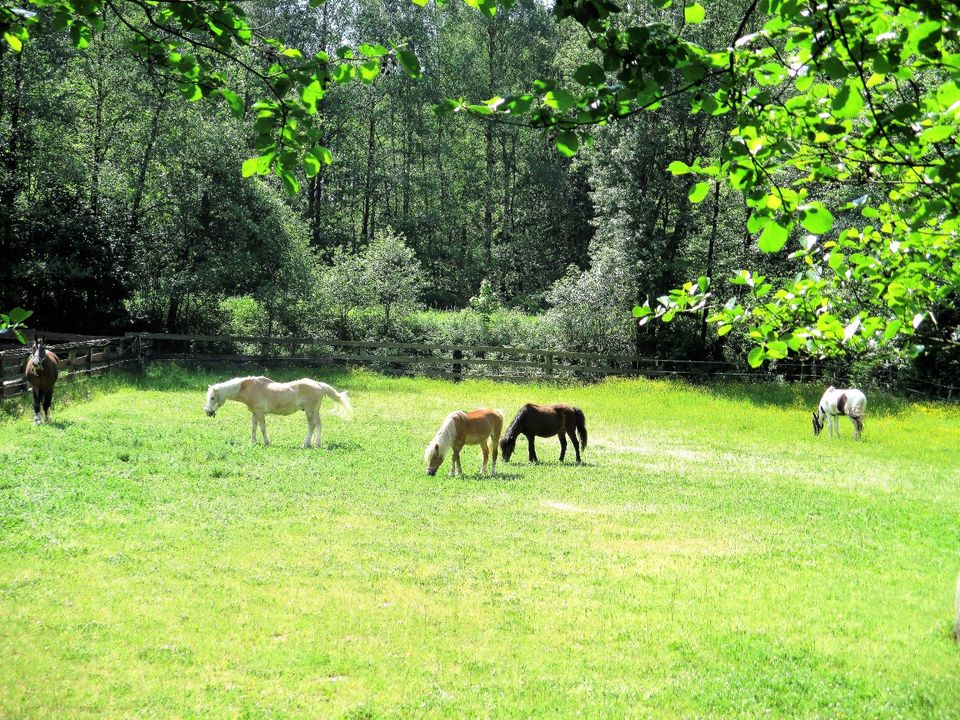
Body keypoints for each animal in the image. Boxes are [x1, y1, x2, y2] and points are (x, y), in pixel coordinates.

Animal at [205, 374, 352, 448]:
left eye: (212, 398)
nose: (207, 412)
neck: (249, 388)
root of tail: (319, 385)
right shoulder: (254, 413)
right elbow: (253, 427)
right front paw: (253, 442)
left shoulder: (260, 413)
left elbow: (262, 428)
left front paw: (267, 442)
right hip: (315, 411)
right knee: (319, 425)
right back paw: (317, 443)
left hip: (310, 411)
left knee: (312, 426)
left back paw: (305, 444)